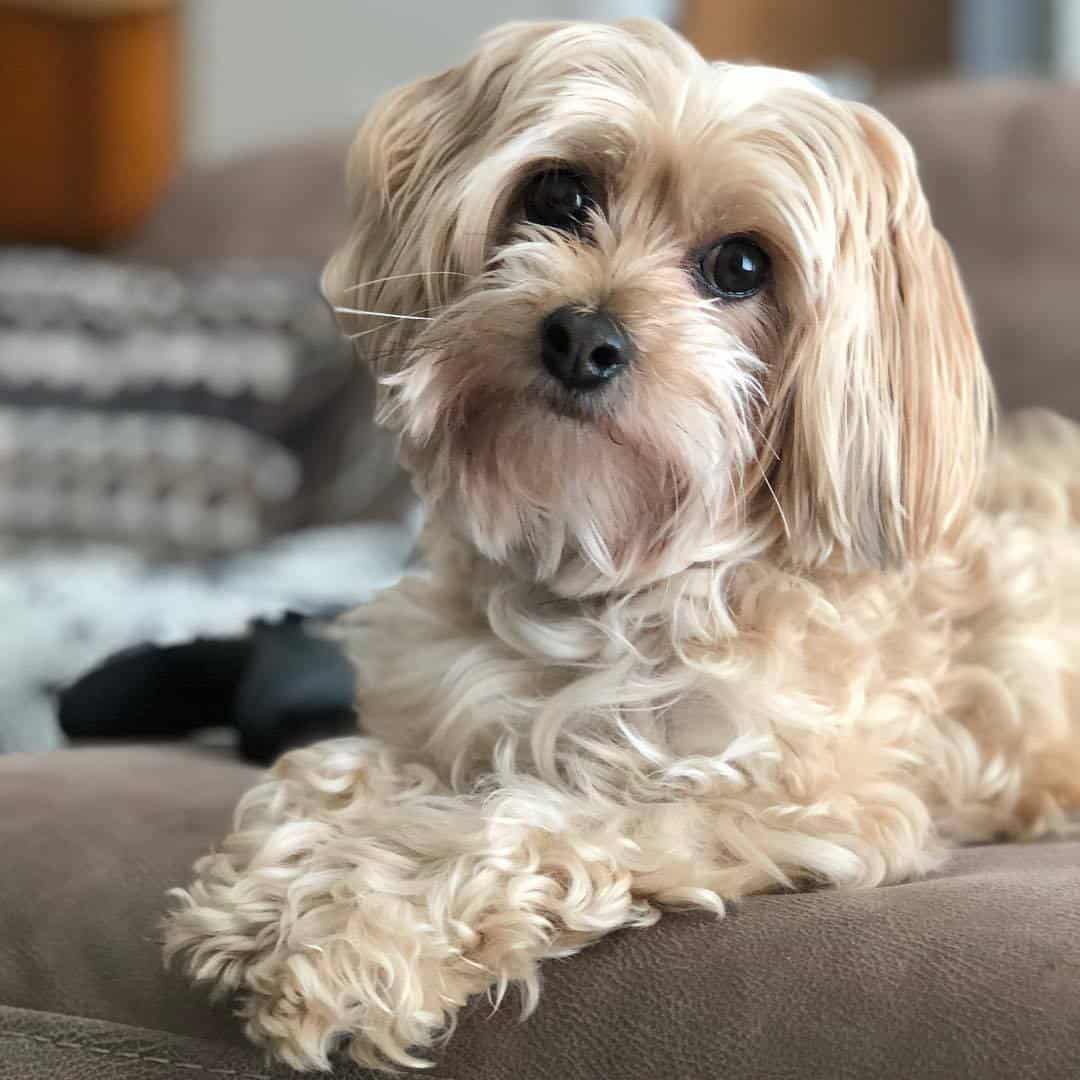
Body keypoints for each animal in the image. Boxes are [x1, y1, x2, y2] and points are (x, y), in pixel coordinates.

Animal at [159, 19, 1080, 1071]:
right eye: (559, 194)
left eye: (742, 267)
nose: (582, 338)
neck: (601, 564)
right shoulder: (440, 721)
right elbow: (324, 773)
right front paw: (260, 890)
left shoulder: (780, 802)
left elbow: (512, 823)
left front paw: (348, 937)